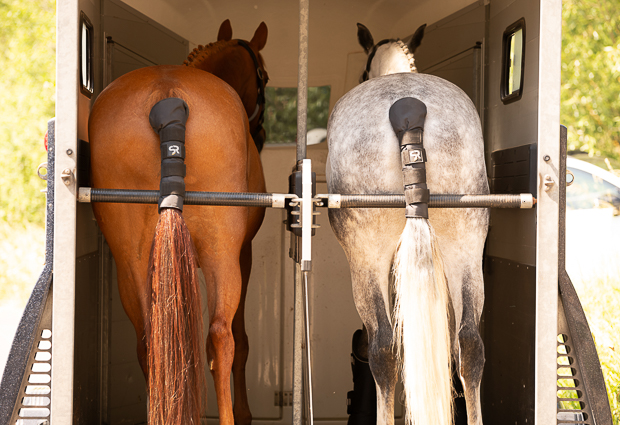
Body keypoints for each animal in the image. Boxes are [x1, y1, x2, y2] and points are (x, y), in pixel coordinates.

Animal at [88, 21, 268, 424]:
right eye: (263, 76)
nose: (262, 135)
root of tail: (167, 93)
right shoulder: (245, 254)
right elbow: (241, 340)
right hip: (221, 253)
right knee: (221, 336)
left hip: (130, 261)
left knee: (149, 341)